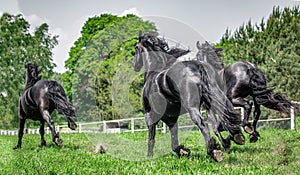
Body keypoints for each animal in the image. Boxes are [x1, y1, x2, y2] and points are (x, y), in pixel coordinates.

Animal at [134, 32, 244, 162]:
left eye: (136, 48)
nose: (135, 66)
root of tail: (198, 67)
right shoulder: (171, 118)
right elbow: (174, 142)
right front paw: (184, 151)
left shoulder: (150, 115)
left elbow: (151, 138)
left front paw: (149, 156)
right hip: (215, 100)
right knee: (224, 118)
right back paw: (234, 138)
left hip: (193, 107)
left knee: (203, 124)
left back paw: (213, 151)